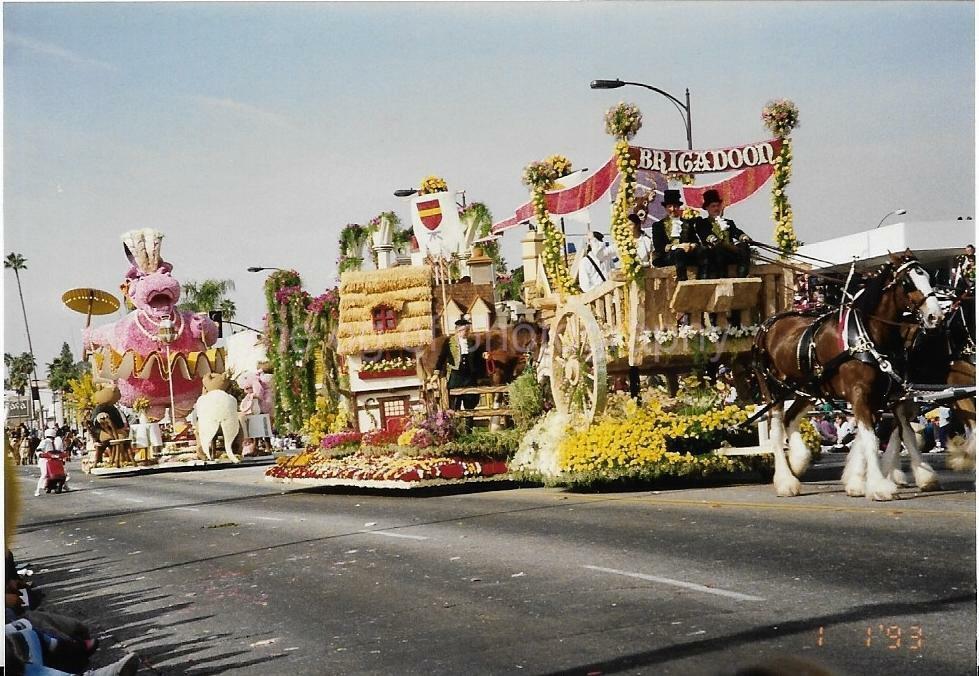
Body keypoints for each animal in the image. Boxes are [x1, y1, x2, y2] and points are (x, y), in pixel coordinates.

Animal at [756, 251, 944, 500]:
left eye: (930, 277)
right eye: (907, 282)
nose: (935, 316)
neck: (867, 336)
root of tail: (768, 324)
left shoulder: (892, 396)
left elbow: (905, 433)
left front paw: (925, 478)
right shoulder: (859, 394)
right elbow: (871, 439)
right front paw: (878, 486)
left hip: (807, 389)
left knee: (790, 418)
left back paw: (798, 461)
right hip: (774, 389)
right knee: (776, 430)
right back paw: (786, 482)